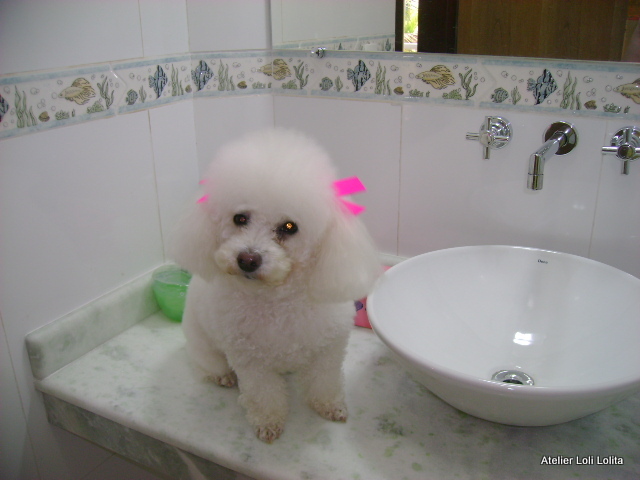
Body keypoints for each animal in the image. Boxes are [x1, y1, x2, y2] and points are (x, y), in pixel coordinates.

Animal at [170, 128, 380, 443]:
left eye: (289, 227)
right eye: (240, 218)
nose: (247, 259)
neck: (277, 301)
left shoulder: (328, 349)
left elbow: (325, 381)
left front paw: (329, 406)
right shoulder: (250, 361)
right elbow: (263, 394)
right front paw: (268, 423)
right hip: (204, 347)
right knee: (208, 365)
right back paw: (223, 376)